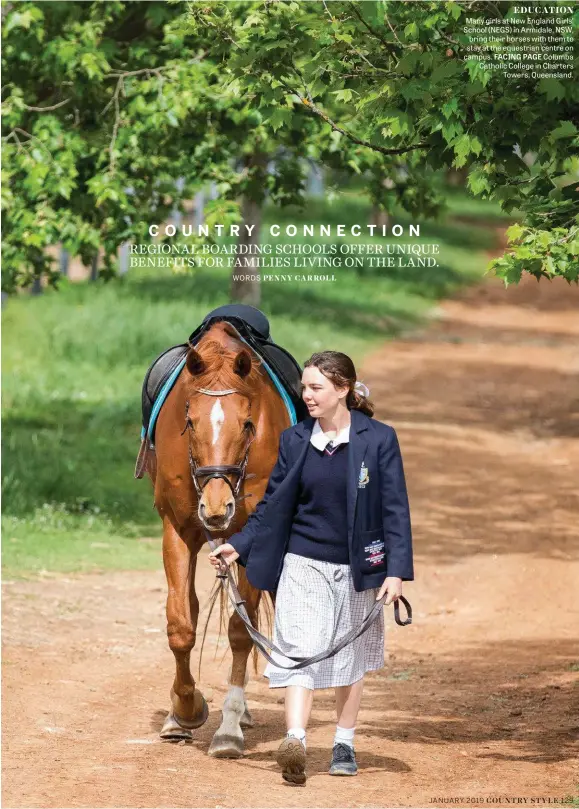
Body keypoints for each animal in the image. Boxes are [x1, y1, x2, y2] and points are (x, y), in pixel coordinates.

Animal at [145, 320, 290, 756]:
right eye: (190, 422)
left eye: (247, 424)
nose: (215, 506)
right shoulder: (177, 530)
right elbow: (181, 625)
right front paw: (185, 710)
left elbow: (241, 632)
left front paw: (227, 728)